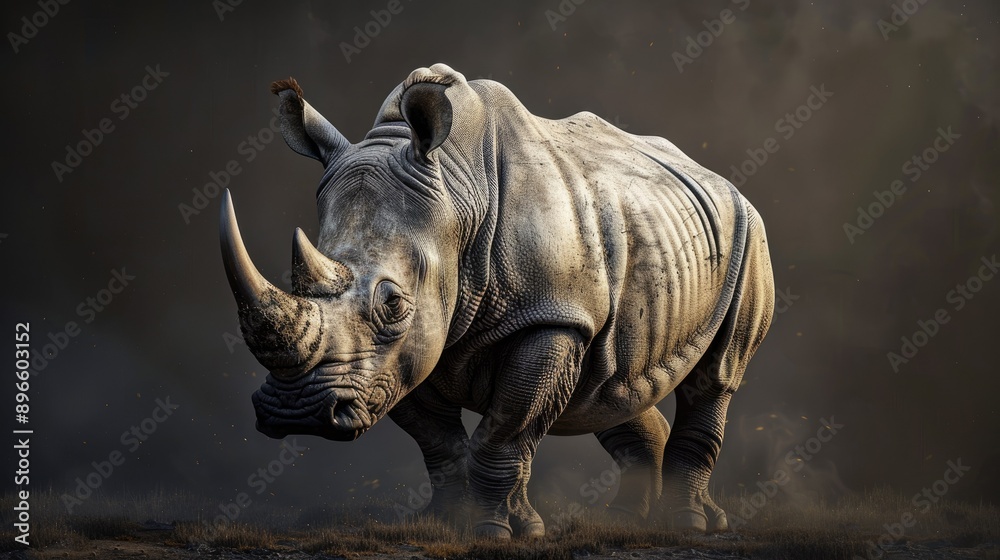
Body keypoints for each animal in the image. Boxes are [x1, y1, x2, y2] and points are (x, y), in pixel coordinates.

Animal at [220, 63, 774, 538]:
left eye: (393, 304)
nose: (296, 413)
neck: (458, 193)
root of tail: (715, 175)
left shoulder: (550, 317)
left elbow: (505, 432)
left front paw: (494, 531)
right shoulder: (401, 353)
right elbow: (440, 442)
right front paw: (450, 524)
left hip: (749, 233)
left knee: (717, 376)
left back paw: (691, 524)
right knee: (608, 382)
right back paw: (628, 523)